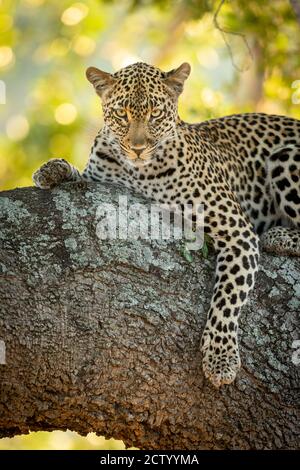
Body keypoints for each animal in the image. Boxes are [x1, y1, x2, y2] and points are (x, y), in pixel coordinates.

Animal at [32, 60, 300, 388]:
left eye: (156, 113)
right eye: (122, 114)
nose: (137, 148)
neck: (140, 173)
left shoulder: (236, 230)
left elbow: (228, 295)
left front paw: (221, 357)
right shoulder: (100, 179)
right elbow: (81, 176)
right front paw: (53, 169)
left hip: (286, 156)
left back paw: (278, 236)